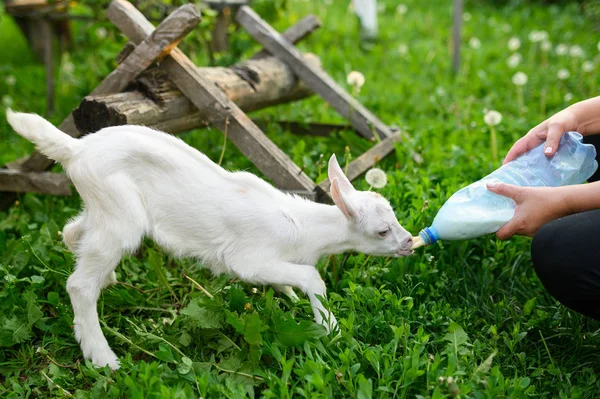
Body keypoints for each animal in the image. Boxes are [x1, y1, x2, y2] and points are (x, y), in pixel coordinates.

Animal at [7, 108, 414, 368]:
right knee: (78, 285)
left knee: (72, 233)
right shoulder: (248, 259)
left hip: (103, 209)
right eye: (382, 230)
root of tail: (76, 149)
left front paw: (291, 297)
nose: (410, 242)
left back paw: (107, 278)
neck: (304, 227)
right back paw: (103, 357)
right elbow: (312, 278)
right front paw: (329, 328)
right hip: (121, 216)